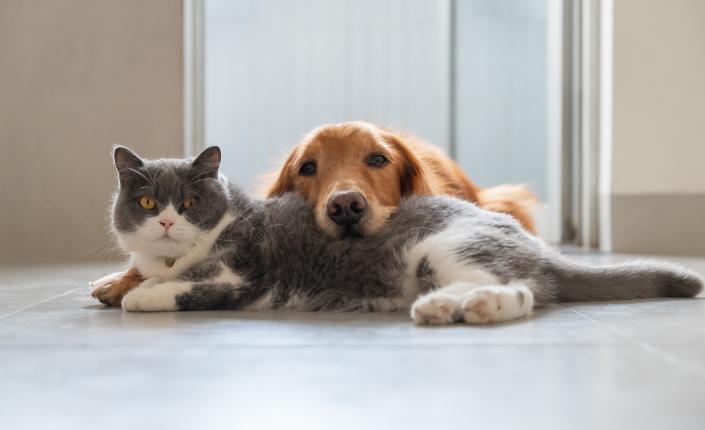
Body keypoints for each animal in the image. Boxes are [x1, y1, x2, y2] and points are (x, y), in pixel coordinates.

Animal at [97, 146, 700, 324]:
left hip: (449, 245)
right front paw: (132, 282)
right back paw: (440, 307)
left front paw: (142, 295)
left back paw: (478, 307)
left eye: (190, 203)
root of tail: (538, 248)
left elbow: (193, 283)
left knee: (523, 292)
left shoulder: (240, 268)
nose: (167, 221)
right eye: (147, 203)